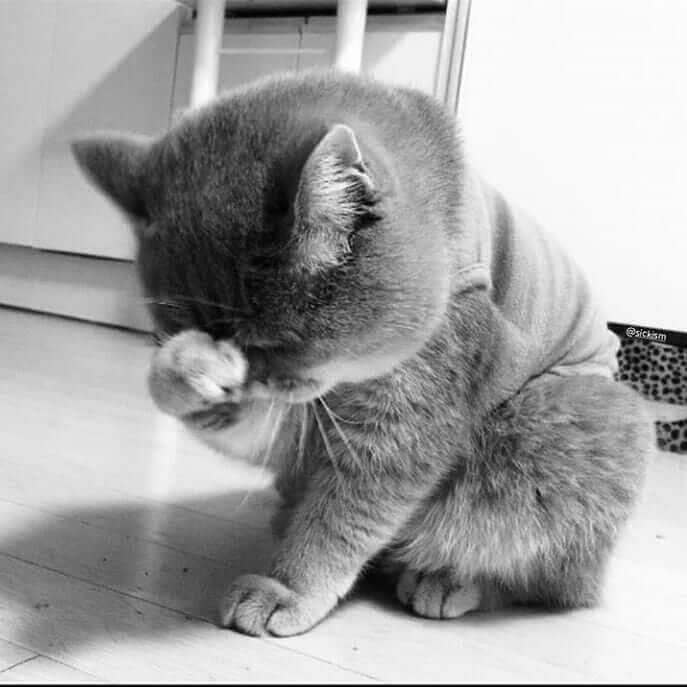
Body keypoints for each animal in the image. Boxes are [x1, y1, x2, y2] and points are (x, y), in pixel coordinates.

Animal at [72, 70, 655, 637]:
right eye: (170, 331)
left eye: (273, 345)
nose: (247, 383)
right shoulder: (303, 424)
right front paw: (185, 368)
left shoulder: (396, 426)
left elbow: (344, 516)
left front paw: (290, 589)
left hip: (564, 421)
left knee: (541, 574)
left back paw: (448, 580)